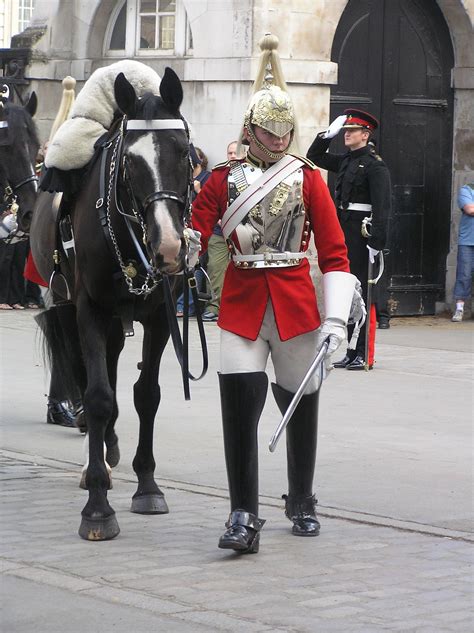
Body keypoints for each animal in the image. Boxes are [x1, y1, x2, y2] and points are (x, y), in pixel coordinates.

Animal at [30, 68, 196, 540]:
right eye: (130, 163)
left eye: (184, 152)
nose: (170, 248)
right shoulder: (88, 309)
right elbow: (99, 395)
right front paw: (98, 508)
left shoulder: (159, 317)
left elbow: (147, 394)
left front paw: (148, 486)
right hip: (73, 310)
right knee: (89, 378)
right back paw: (95, 462)